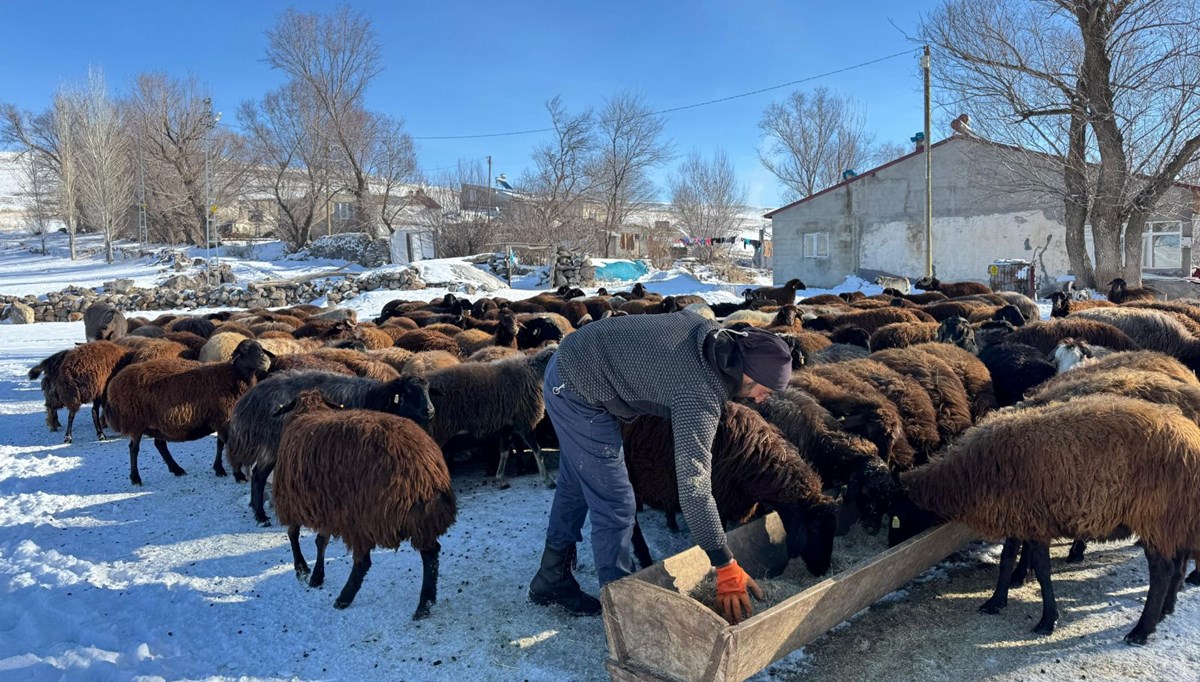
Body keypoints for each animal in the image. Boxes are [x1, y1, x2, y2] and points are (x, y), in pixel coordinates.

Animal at [103, 338, 274, 485]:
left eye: (260, 347)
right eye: (244, 350)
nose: (264, 361)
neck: (234, 376)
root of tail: (114, 384)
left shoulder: (221, 419)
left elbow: (220, 444)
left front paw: (219, 469)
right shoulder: (222, 418)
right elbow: (227, 445)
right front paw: (238, 475)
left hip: (157, 424)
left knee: (160, 445)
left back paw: (176, 469)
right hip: (136, 422)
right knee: (134, 449)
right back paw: (136, 478)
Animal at [274, 389, 456, 619]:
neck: (310, 409)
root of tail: (425, 472)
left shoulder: (292, 500)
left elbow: (293, 534)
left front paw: (301, 568)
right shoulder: (327, 506)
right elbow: (320, 541)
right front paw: (316, 575)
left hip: (363, 516)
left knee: (363, 562)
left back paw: (344, 598)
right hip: (418, 518)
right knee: (431, 553)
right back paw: (426, 603)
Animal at [902, 393, 1200, 643]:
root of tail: (1191, 438)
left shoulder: (1035, 522)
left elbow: (1043, 571)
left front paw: (1047, 621)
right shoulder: (1017, 516)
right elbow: (1007, 559)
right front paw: (995, 602)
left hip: (1155, 515)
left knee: (1162, 570)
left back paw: (1141, 630)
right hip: (1174, 517)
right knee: (1177, 563)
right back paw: (1165, 611)